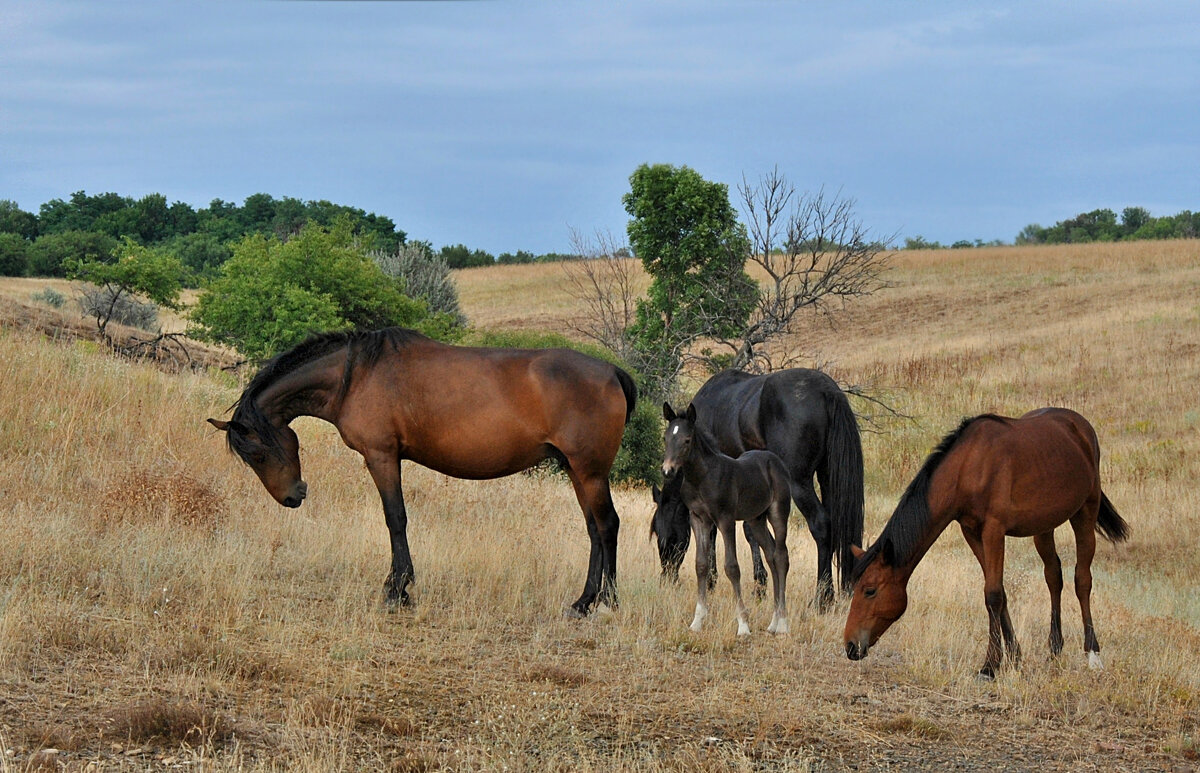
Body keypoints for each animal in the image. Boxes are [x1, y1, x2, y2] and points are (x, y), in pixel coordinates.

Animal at [208, 328, 638, 619]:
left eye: (258, 454)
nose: (293, 496)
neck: (357, 375)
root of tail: (611, 372)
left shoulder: (381, 456)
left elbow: (395, 518)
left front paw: (397, 590)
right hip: (577, 471)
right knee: (593, 530)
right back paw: (582, 602)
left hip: (590, 471)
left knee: (608, 526)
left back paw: (609, 602)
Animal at [648, 367, 864, 609]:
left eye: (665, 536)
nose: (667, 578)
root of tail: (827, 391)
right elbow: (752, 531)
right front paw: (761, 584)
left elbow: (718, 532)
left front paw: (716, 581)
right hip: (827, 477)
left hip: (800, 482)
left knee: (821, 525)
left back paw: (822, 598)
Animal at [662, 400, 792, 638]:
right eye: (665, 438)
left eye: (687, 440)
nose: (668, 471)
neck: (702, 478)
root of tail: (775, 461)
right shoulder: (699, 519)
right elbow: (701, 564)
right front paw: (697, 621)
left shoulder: (726, 519)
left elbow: (732, 567)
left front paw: (743, 625)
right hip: (756, 519)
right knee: (770, 555)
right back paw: (773, 622)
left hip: (778, 512)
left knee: (781, 557)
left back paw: (783, 624)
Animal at [840, 408, 1128, 681]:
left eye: (869, 590)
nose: (850, 646)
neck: (967, 467)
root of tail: (1080, 426)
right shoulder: (972, 532)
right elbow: (1000, 591)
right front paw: (1014, 656)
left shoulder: (993, 531)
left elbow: (993, 594)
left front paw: (990, 665)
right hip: (1044, 527)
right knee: (1053, 576)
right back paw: (1055, 649)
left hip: (1085, 512)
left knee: (1082, 579)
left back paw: (1092, 653)